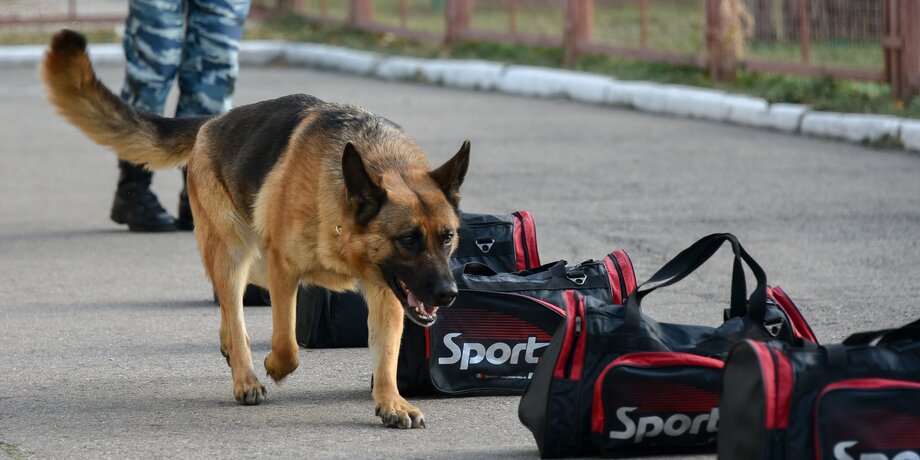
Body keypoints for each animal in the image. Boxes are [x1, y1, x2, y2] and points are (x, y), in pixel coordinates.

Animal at [42, 29, 469, 429]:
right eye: (408, 239)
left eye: (447, 237)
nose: (449, 295)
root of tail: (212, 123)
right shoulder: (285, 268)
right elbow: (287, 344)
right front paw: (273, 366)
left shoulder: (387, 291)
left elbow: (387, 353)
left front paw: (391, 402)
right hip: (233, 251)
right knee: (234, 306)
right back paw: (245, 377)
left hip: (251, 256)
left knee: (232, 307)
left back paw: (230, 347)